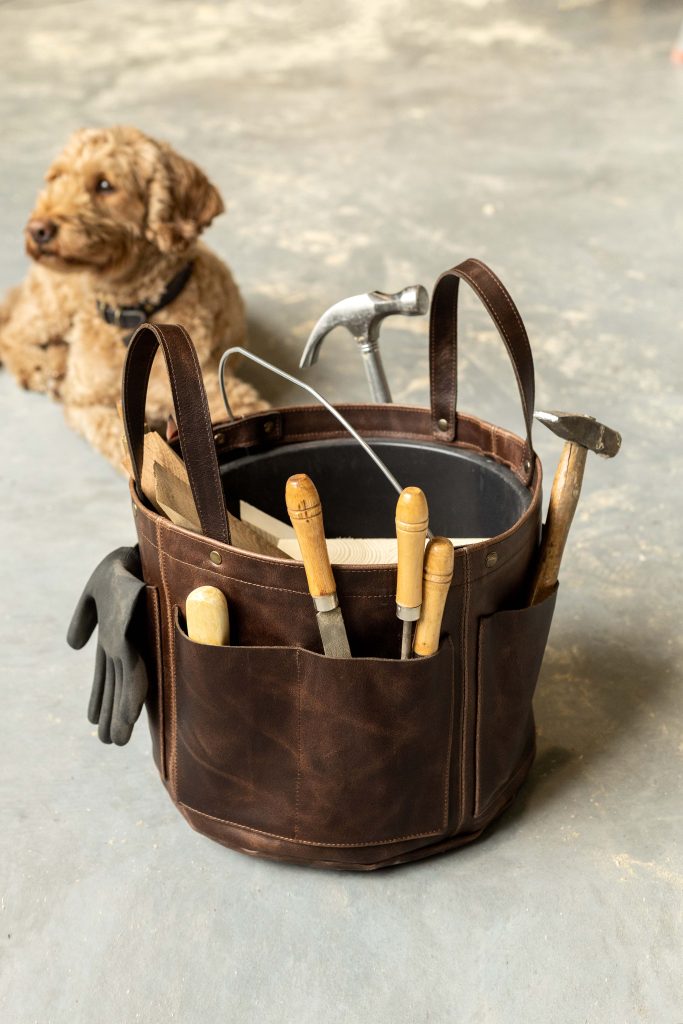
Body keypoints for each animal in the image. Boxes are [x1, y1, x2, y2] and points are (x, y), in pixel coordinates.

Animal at [0, 123, 266, 464]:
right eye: (56, 178)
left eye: (104, 185)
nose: (37, 229)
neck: (132, 310)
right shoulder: (86, 403)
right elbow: (120, 441)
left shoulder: (225, 394)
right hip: (54, 305)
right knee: (11, 331)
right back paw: (39, 366)